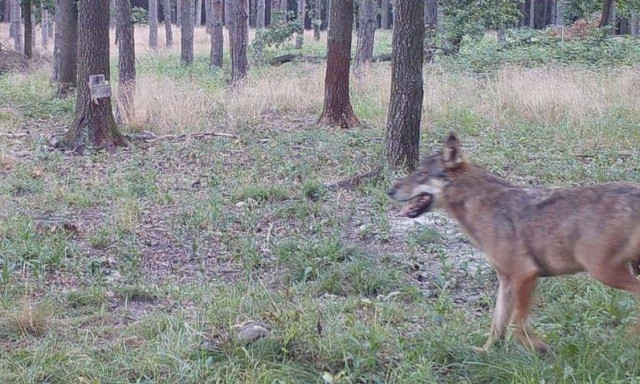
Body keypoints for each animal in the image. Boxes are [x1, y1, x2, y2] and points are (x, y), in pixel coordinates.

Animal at [388, 134, 640, 352]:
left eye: (420, 174)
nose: (390, 190)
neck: (481, 206)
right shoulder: (506, 280)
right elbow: (497, 325)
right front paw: (485, 353)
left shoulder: (525, 274)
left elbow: (516, 325)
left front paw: (538, 347)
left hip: (604, 272)